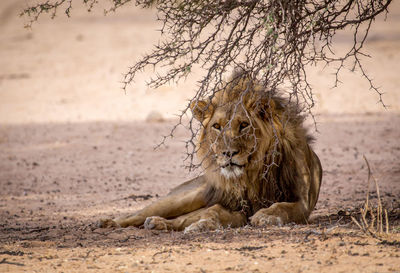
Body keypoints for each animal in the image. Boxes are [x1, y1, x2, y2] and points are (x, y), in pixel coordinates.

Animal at [100, 73, 322, 232]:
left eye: (244, 125)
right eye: (217, 126)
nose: (228, 153)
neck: (255, 173)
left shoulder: (303, 202)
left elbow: (283, 207)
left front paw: (265, 215)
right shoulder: (237, 207)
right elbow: (215, 212)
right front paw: (204, 224)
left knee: (181, 220)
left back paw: (158, 224)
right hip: (185, 196)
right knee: (138, 215)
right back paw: (110, 222)